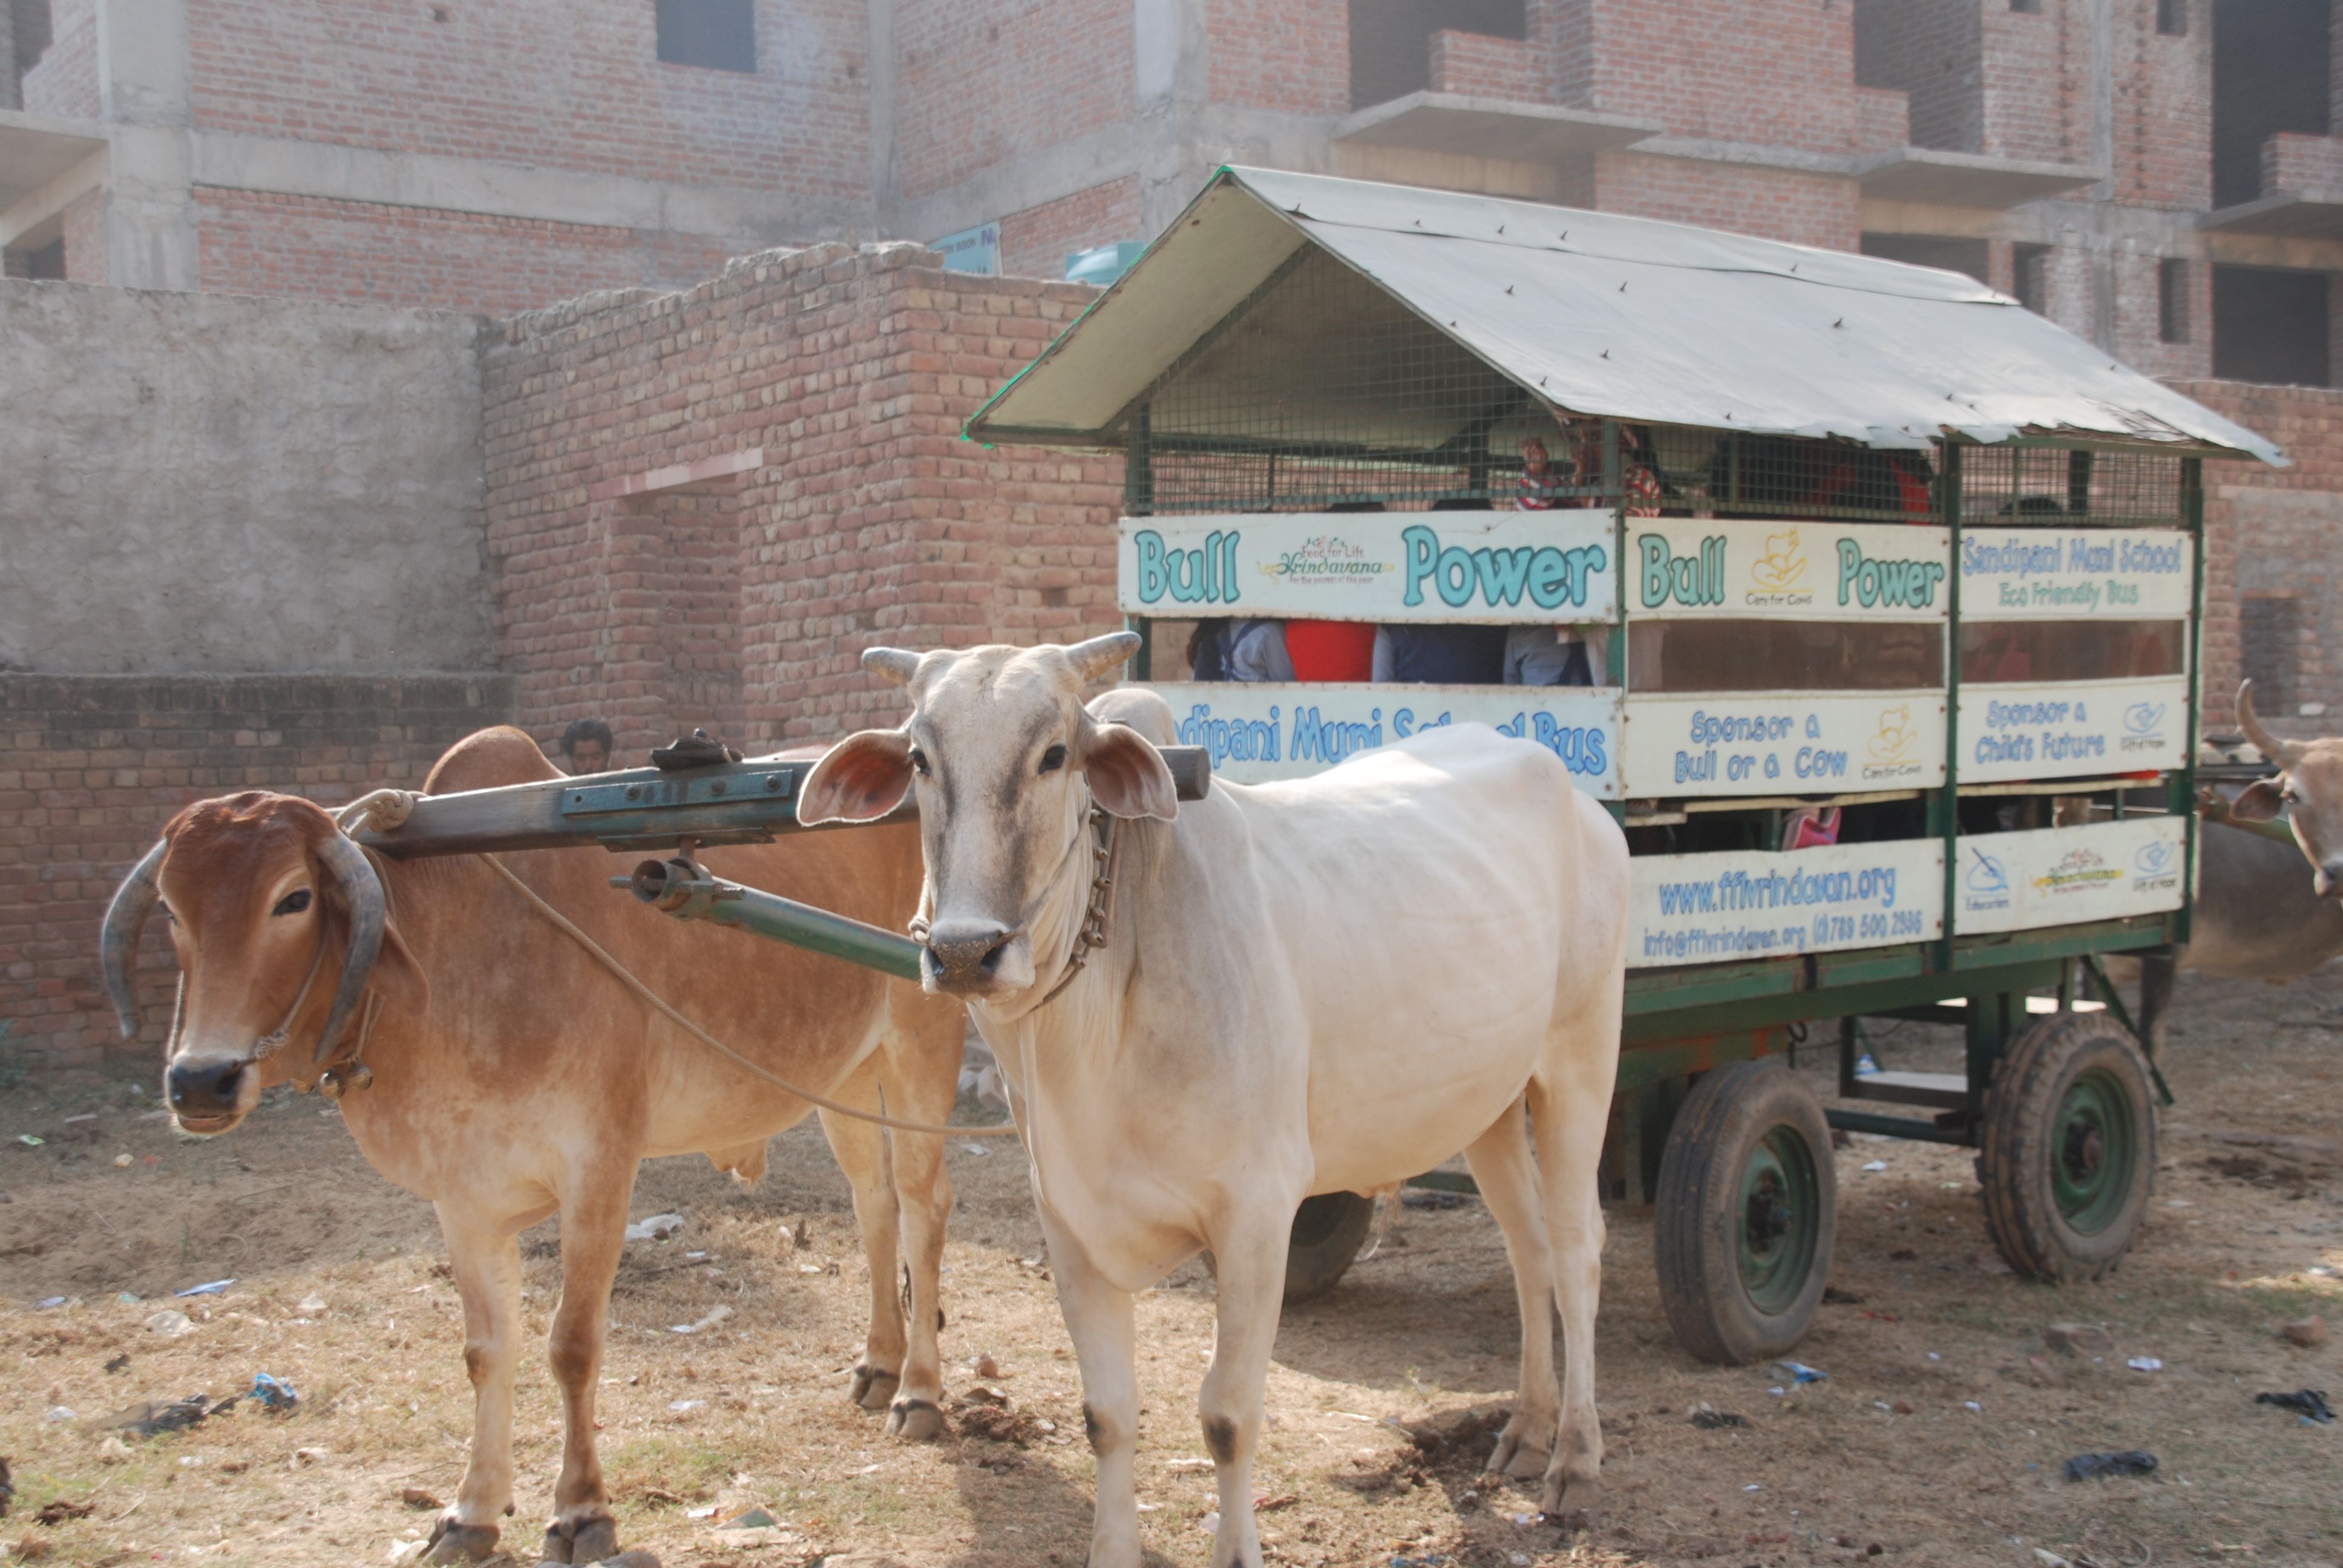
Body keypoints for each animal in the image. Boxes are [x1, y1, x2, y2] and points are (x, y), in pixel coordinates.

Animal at [98, 727, 967, 1566]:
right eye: (172, 908)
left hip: (922, 1047)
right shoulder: (464, 1200)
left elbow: (571, 1347)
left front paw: (581, 1511)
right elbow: (487, 1352)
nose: (200, 1081)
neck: (457, 955)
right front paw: (471, 1513)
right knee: (874, 1204)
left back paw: (920, 1390)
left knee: (923, 1210)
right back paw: (879, 1363)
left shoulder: (599, 1172)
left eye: (294, 897)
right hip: (848, 1076)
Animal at [797, 633, 1632, 1568]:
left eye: (1054, 754)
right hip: (1487, 1102)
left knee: (1576, 1251)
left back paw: (1574, 1457)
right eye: (919, 760)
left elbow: (1228, 1417)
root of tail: (1572, 791)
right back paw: (1525, 1430)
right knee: (1528, 1251)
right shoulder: (1070, 1224)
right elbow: (1106, 1416)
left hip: (1579, 1058)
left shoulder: (1256, 1216)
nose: (966, 952)